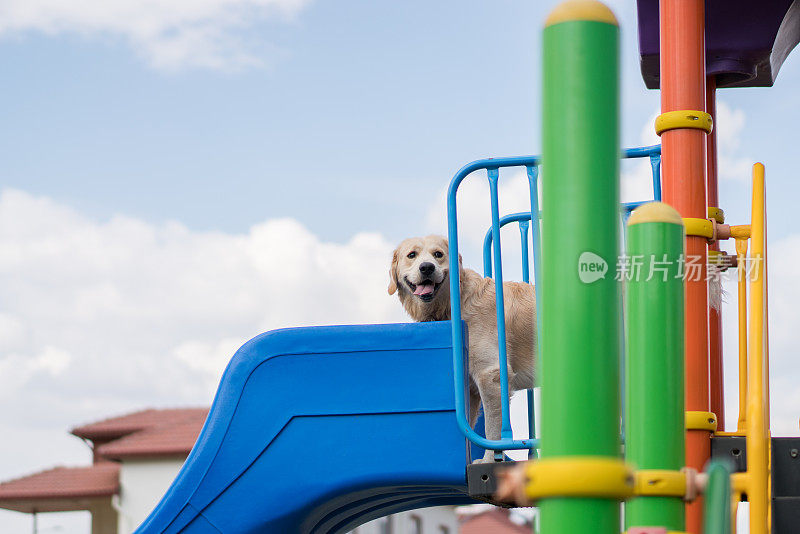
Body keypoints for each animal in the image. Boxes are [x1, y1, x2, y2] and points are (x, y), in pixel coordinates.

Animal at [390, 237, 536, 462]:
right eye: (412, 255)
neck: (454, 303)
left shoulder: (490, 375)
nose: (427, 267)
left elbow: (492, 429)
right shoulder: (471, 388)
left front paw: (489, 460)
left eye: (438, 254)